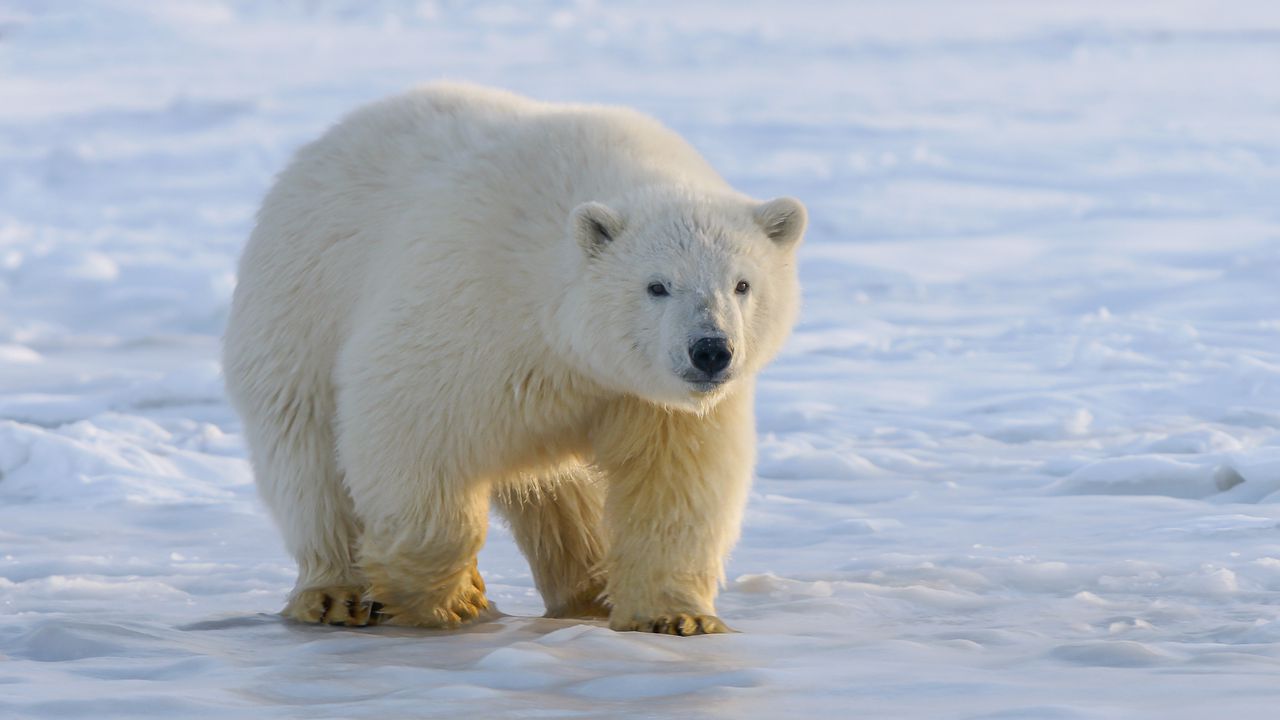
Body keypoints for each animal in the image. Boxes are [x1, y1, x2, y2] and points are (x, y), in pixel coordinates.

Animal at [220, 83, 798, 632]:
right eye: (657, 285)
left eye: (742, 284)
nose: (711, 350)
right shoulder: (469, 304)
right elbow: (409, 425)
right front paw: (448, 598)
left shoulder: (646, 398)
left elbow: (674, 483)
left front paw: (678, 617)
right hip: (300, 309)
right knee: (308, 458)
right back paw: (333, 594)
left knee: (562, 495)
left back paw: (588, 588)